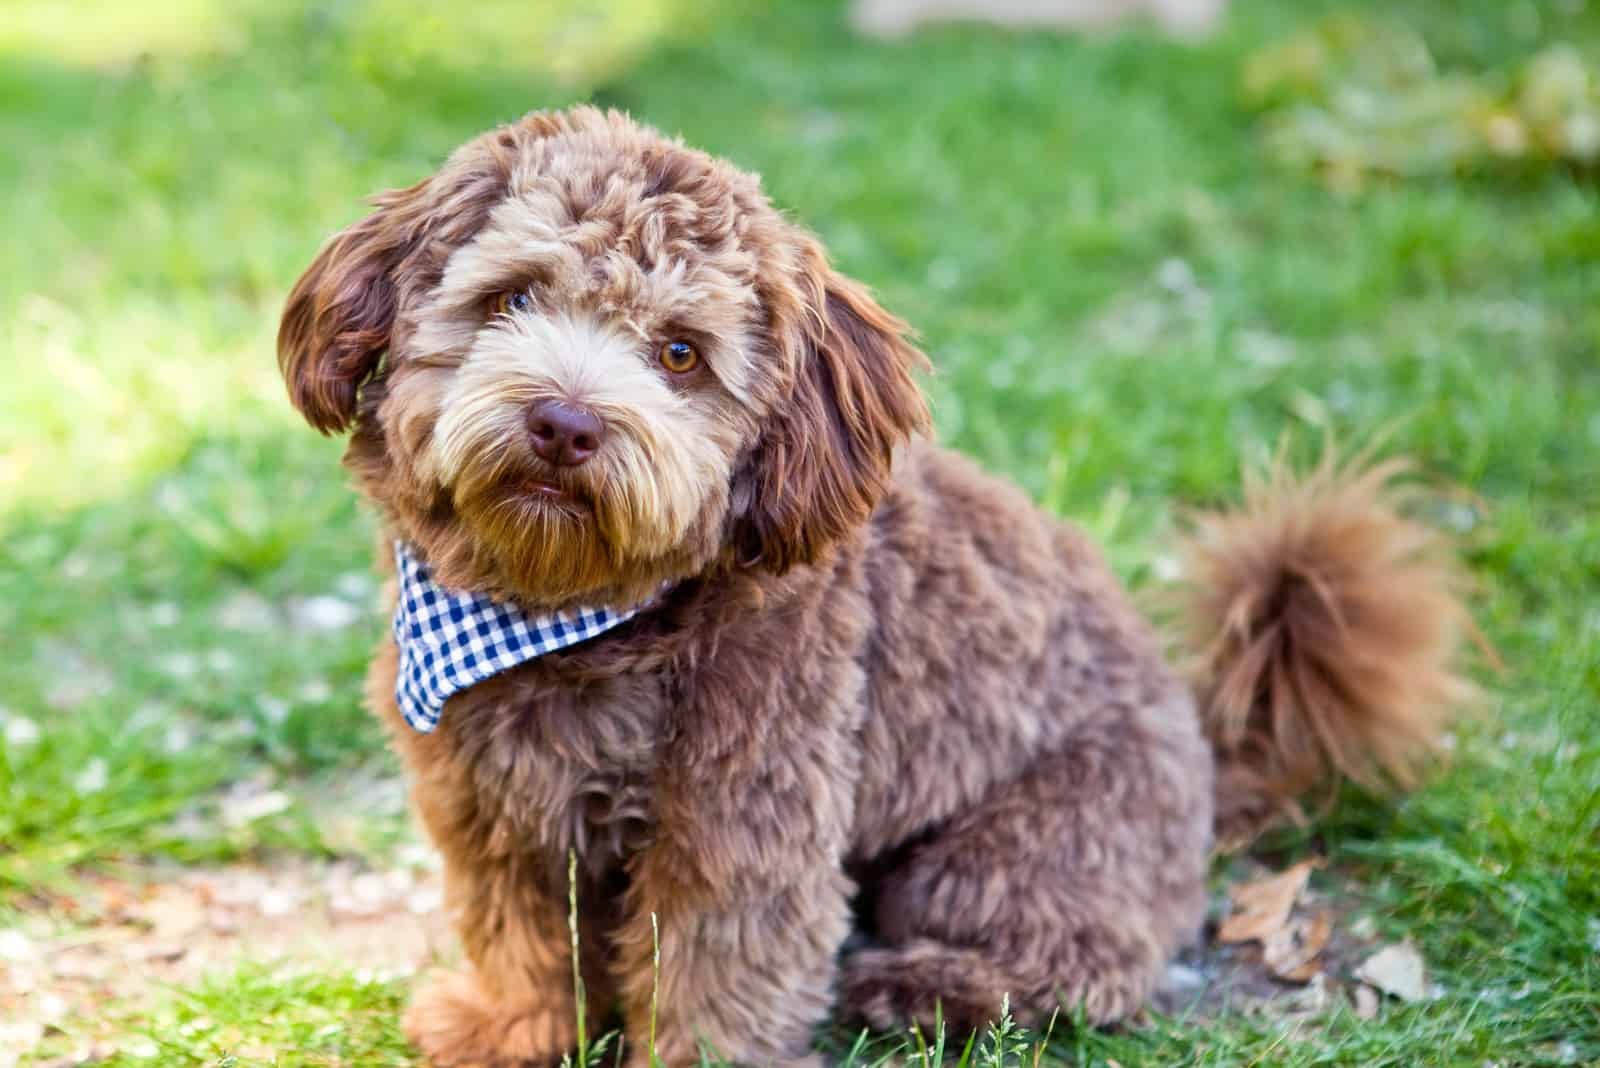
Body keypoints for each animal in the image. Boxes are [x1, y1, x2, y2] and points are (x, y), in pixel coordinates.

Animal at [275, 103, 1472, 1061]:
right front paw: (505, 1032)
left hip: (1020, 848)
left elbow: (719, 973)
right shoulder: (489, 804)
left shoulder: (746, 823)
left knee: (1086, 968)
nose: (565, 423)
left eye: (679, 353)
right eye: (511, 300)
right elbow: (520, 937)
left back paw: (919, 989)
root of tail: (1215, 762)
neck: (563, 612)